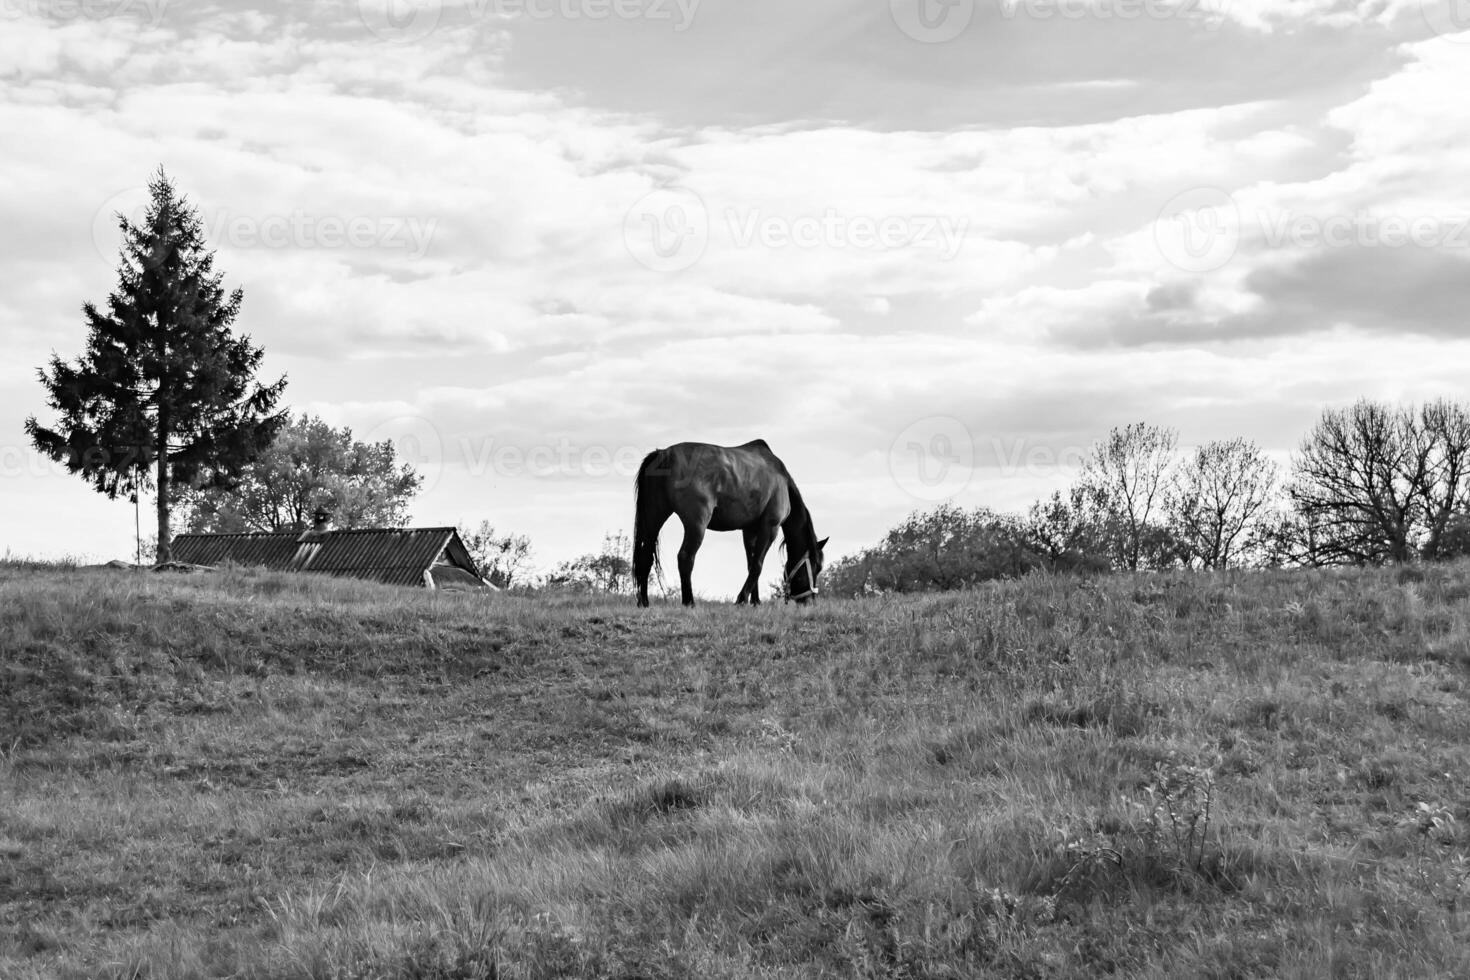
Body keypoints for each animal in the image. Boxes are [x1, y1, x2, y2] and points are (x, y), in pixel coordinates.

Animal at [632, 443, 829, 605]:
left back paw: (644, 602)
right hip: (696, 525)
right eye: (816, 566)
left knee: (646, 556)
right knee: (685, 557)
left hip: (654, 520)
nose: (809, 601)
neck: (782, 480)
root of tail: (663, 454)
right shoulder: (770, 527)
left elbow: (751, 563)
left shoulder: (749, 531)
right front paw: (741, 599)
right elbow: (757, 565)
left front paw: (755, 602)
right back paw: (689, 602)